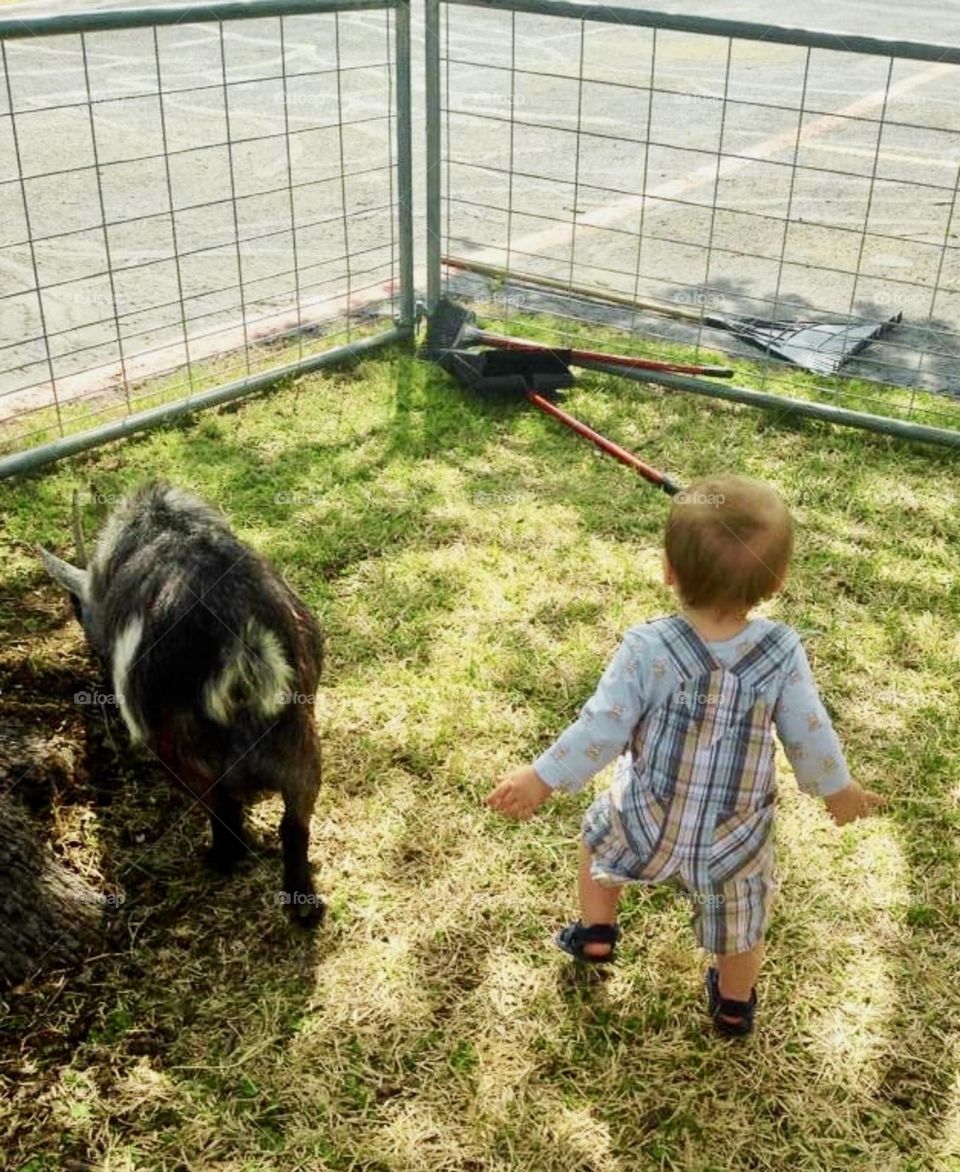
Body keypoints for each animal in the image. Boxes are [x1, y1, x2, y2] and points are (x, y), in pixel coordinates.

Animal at [39, 480, 325, 918]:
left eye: (75, 610)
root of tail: (243, 645)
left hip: (184, 752)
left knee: (223, 811)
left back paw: (218, 860)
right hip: (300, 743)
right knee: (295, 823)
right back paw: (305, 908)